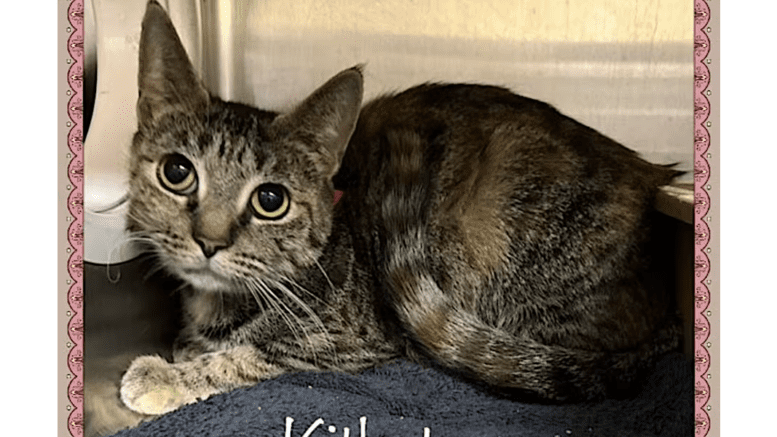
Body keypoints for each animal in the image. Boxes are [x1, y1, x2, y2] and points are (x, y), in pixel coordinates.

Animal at [115, 0, 680, 416]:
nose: (209, 240)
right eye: (177, 172)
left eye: (270, 200)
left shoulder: (345, 342)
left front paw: (165, 374)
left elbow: (247, 357)